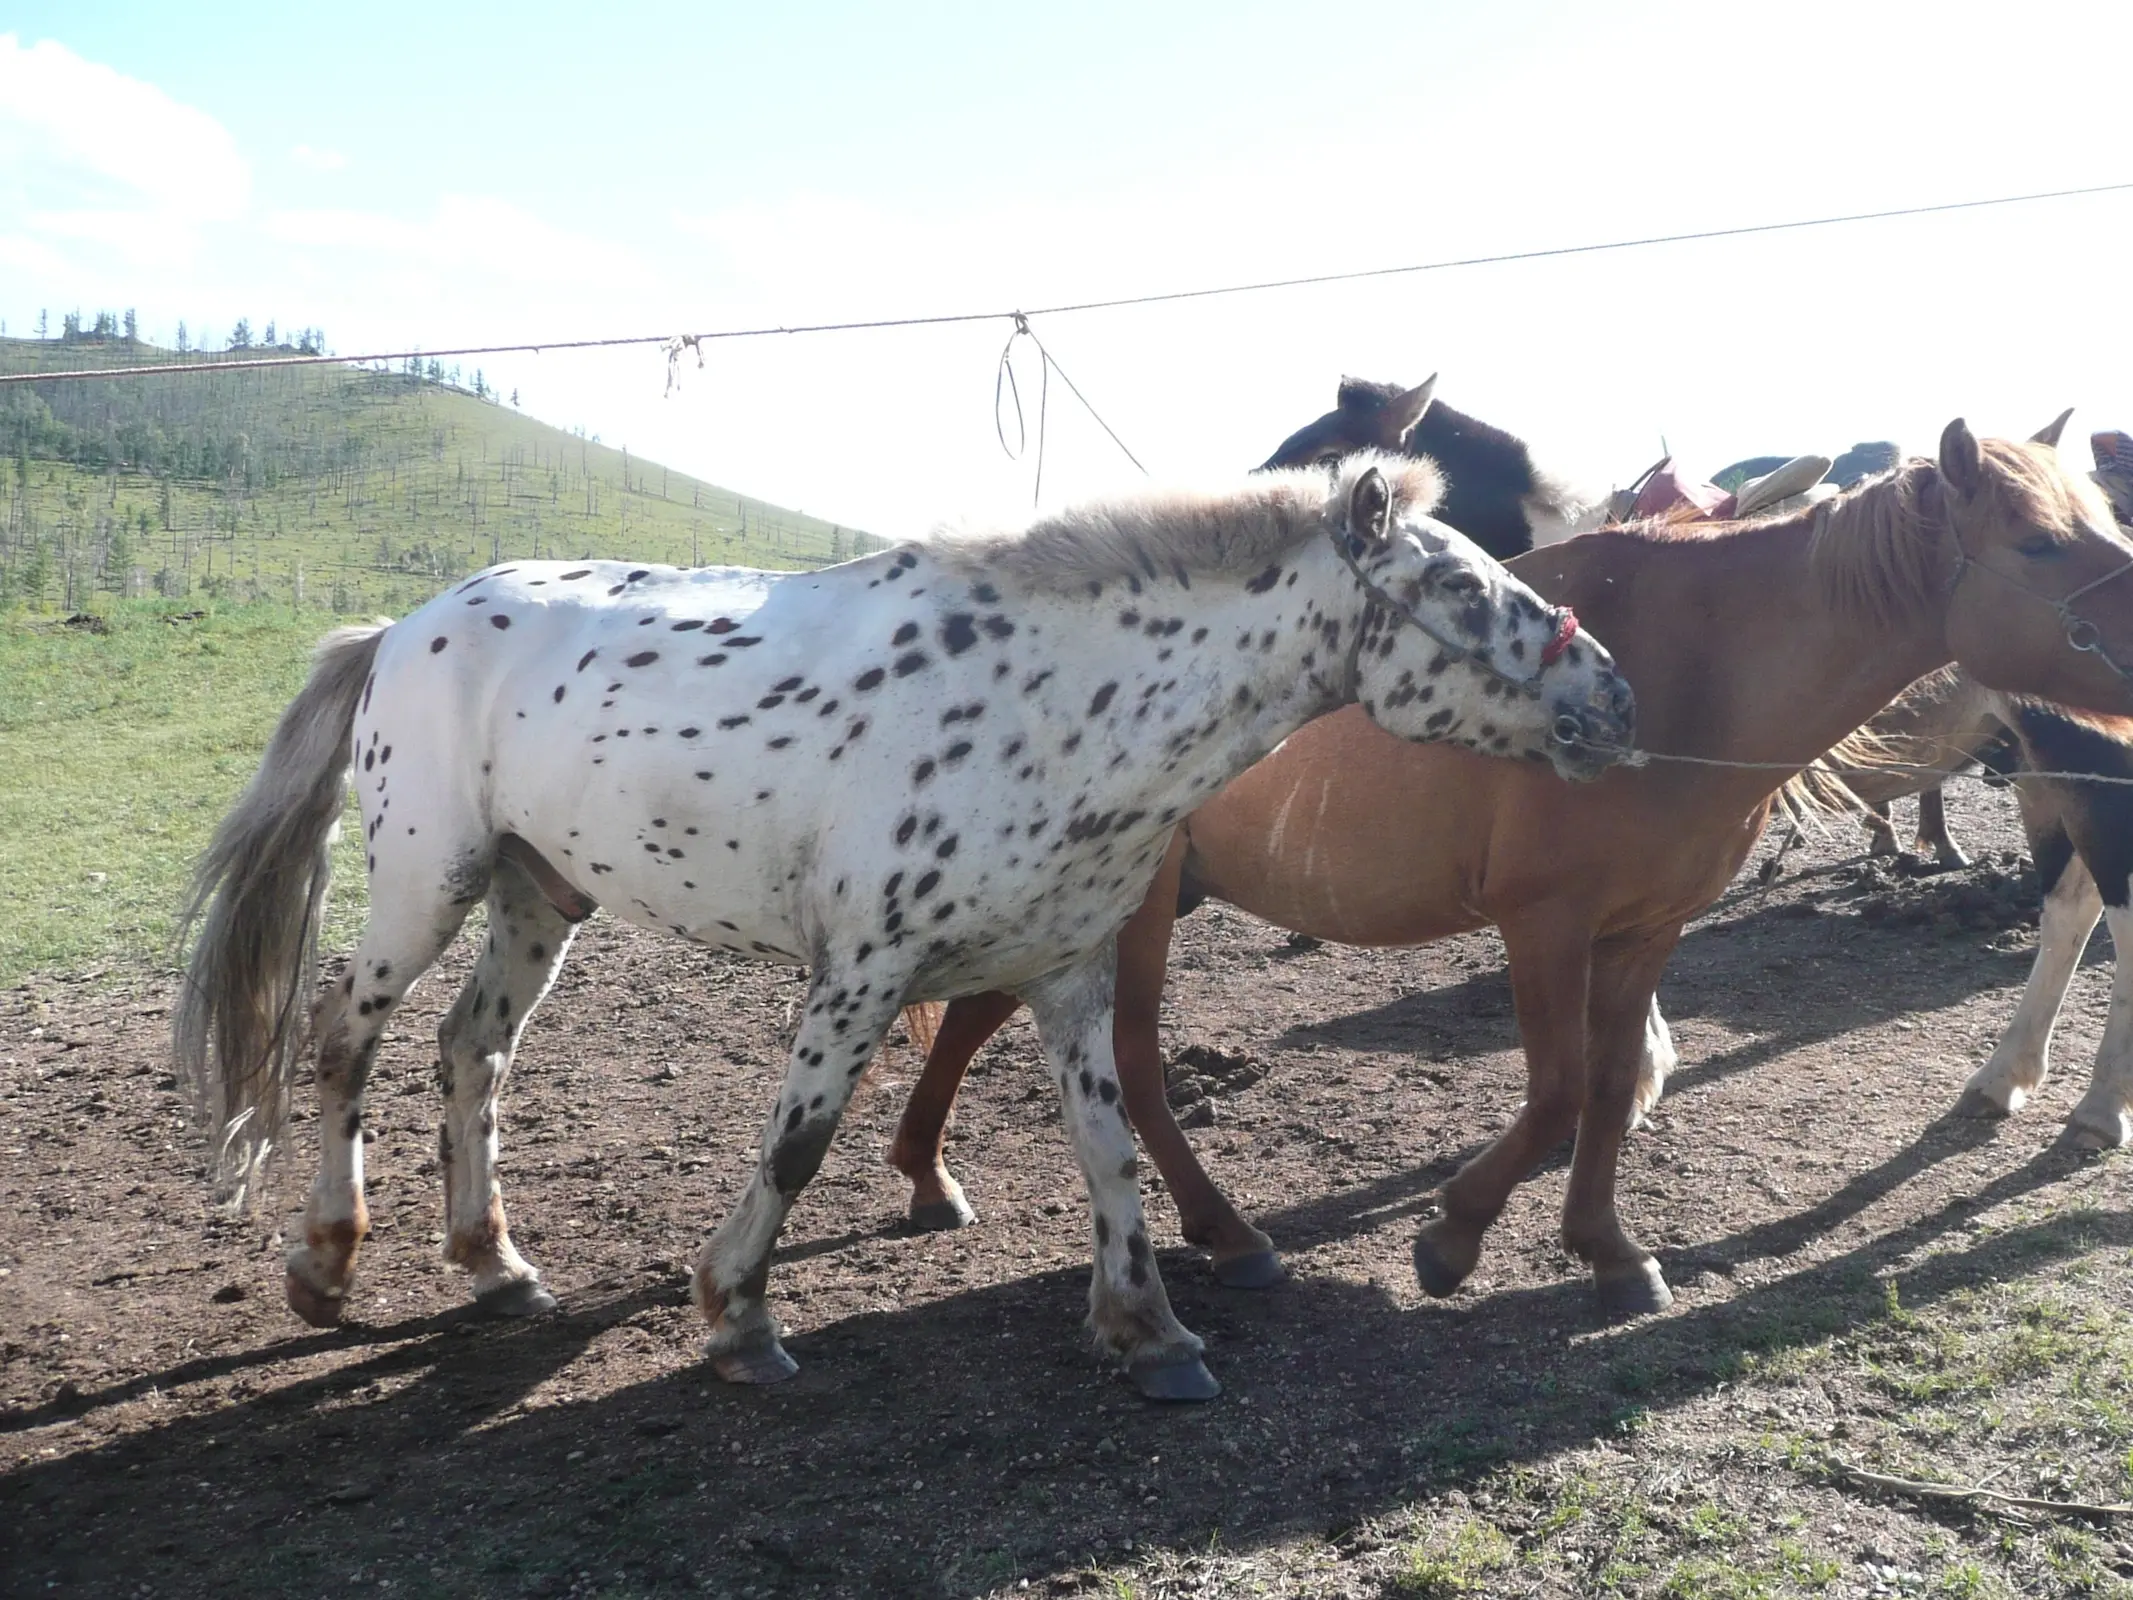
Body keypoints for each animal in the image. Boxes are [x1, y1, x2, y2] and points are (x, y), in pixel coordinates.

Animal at [179, 454, 1629, 1399]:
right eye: (1465, 590)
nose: (1613, 701)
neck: (1054, 703)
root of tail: (400, 628)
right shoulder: (858, 976)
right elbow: (798, 1147)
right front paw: (739, 1320)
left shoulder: (1068, 976)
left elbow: (1111, 1150)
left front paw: (1149, 1328)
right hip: (431, 884)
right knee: (345, 1038)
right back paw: (324, 1267)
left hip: (544, 897)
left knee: (472, 1052)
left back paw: (495, 1266)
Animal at [887, 422, 2133, 1314]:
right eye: (2040, 543)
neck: (1689, 671)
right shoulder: (1545, 924)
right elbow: (1557, 1092)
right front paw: (1452, 1237)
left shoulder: (1644, 930)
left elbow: (1608, 1083)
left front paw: (1607, 1251)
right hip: (1136, 909)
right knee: (1135, 1066)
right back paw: (1224, 1232)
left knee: (991, 1017)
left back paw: (930, 1171)